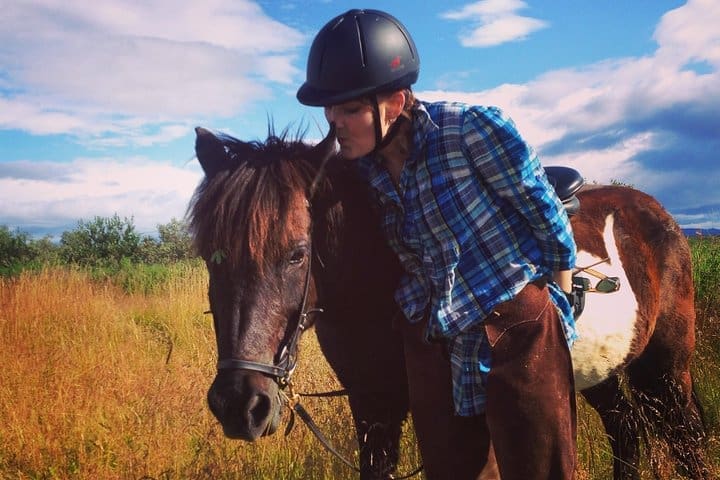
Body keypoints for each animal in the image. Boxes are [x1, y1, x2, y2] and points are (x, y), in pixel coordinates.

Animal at [187, 126, 709, 480]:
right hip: (600, 373)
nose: (239, 404)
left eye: (297, 253)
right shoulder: (373, 406)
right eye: (210, 255)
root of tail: (660, 215)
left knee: (687, 440)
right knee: (626, 428)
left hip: (665, 369)